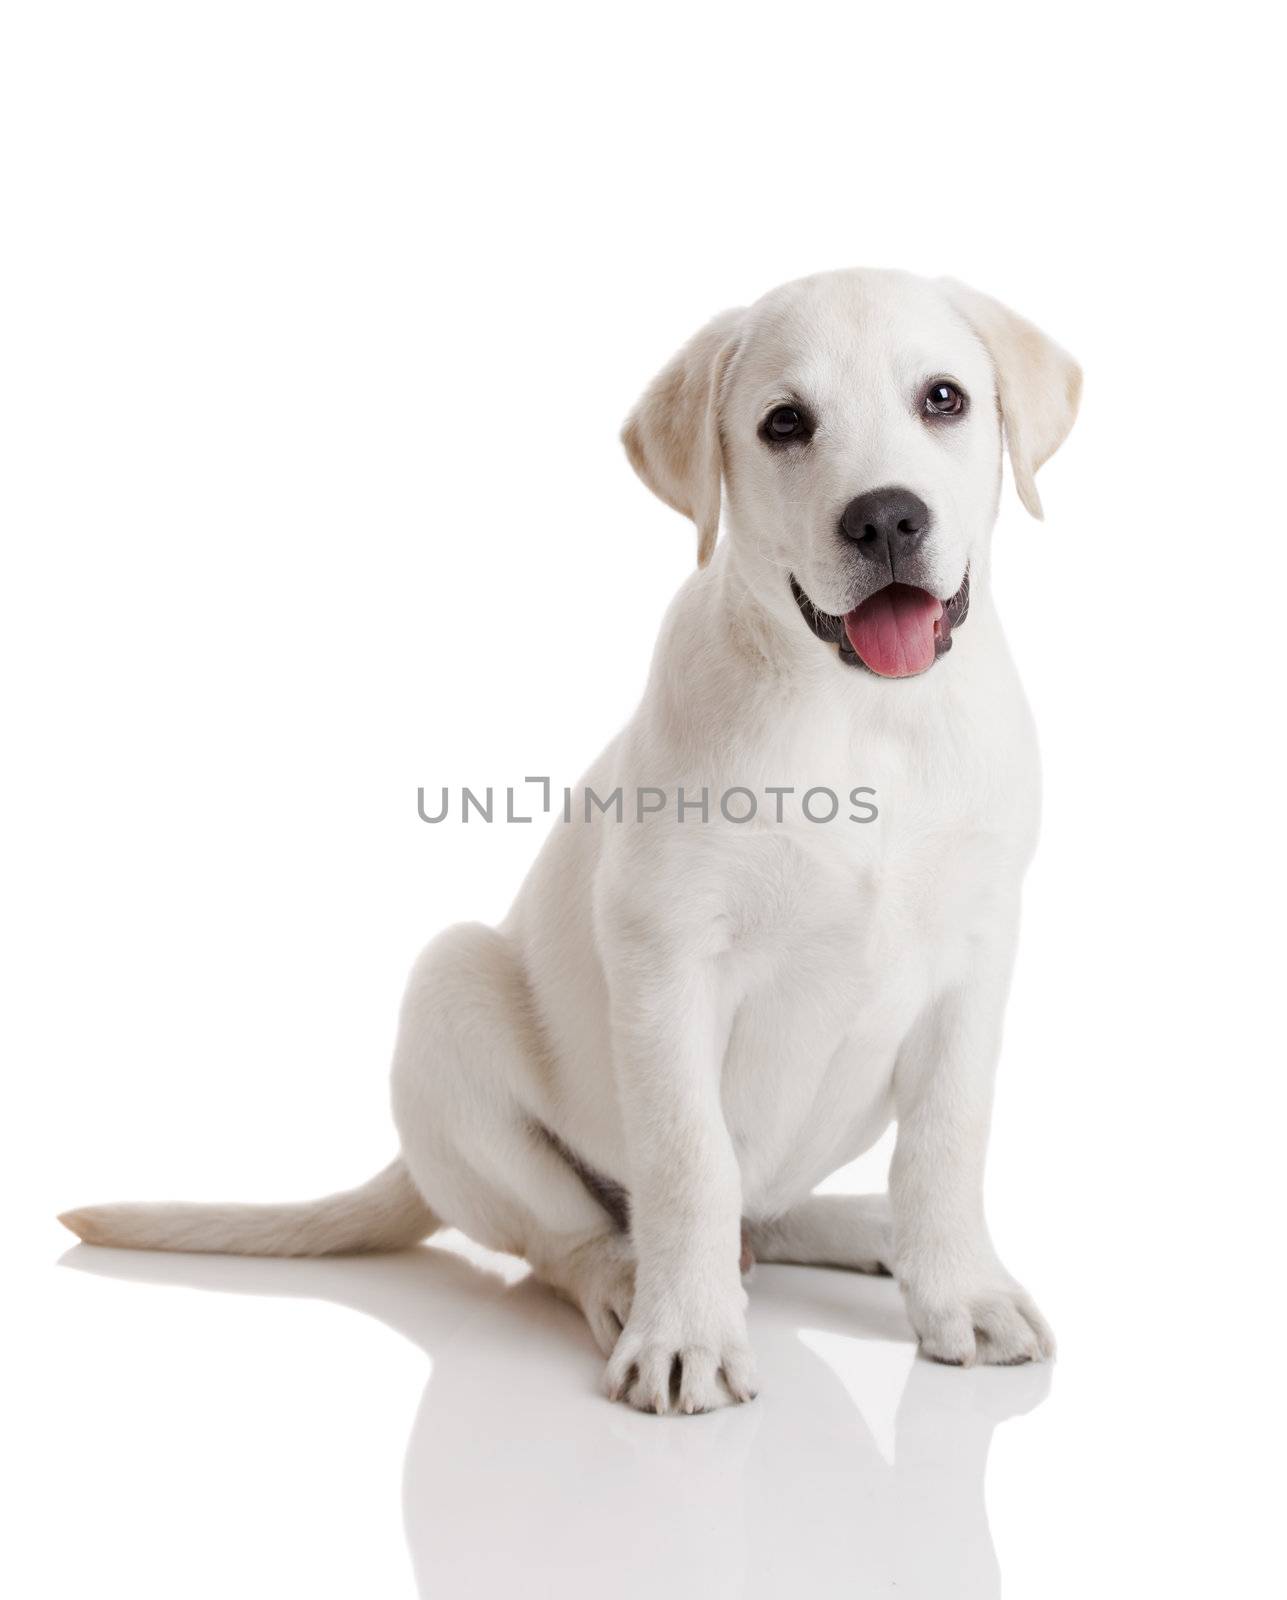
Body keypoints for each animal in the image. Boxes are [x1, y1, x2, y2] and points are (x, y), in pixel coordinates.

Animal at [62, 268, 1088, 1420]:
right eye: (784, 423)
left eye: (944, 399)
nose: (885, 515)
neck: (866, 716)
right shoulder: (667, 954)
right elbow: (689, 1158)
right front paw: (685, 1336)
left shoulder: (976, 958)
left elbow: (947, 1139)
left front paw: (960, 1292)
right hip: (451, 996)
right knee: (574, 1234)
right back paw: (634, 1283)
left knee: (767, 1210)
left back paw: (872, 1232)